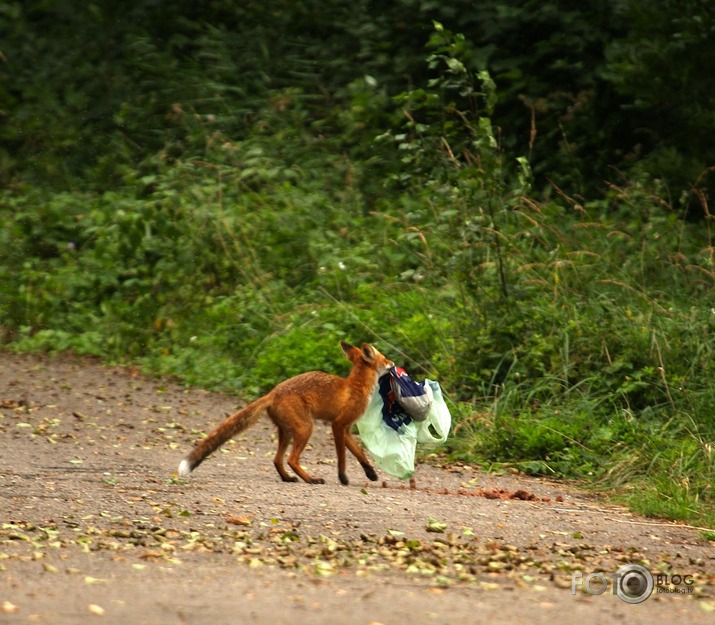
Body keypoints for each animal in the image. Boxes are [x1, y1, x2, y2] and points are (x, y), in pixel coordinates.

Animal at [177, 342, 394, 482]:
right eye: (385, 359)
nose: (393, 364)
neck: (356, 386)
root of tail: (273, 392)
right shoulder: (338, 425)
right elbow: (342, 457)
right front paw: (343, 478)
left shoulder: (346, 429)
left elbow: (360, 454)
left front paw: (371, 474)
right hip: (305, 429)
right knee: (291, 459)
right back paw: (311, 479)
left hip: (287, 432)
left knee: (277, 460)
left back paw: (288, 478)